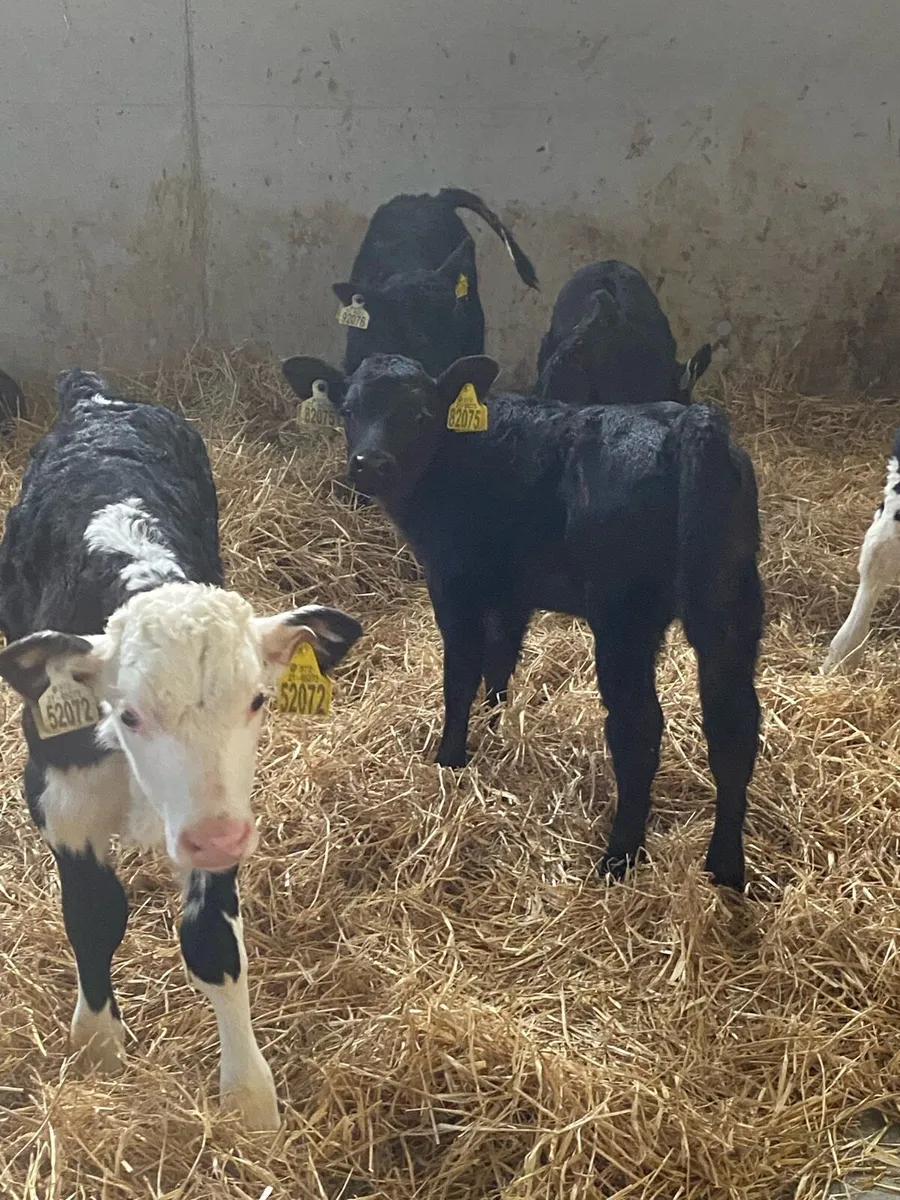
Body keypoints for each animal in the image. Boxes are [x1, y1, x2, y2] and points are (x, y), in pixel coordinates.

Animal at [0, 369, 363, 1129]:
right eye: (128, 713)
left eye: (258, 700)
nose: (217, 837)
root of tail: (97, 397)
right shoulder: (59, 799)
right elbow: (94, 917)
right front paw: (97, 1046)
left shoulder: (220, 814)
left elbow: (213, 942)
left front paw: (248, 1099)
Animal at [281, 351, 764, 892]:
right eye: (348, 410)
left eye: (420, 415)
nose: (370, 464)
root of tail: (690, 420)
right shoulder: (511, 592)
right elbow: (500, 663)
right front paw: (493, 731)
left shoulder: (454, 583)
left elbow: (461, 674)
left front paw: (450, 758)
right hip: (730, 604)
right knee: (734, 725)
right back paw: (725, 866)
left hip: (624, 618)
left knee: (639, 728)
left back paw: (619, 857)